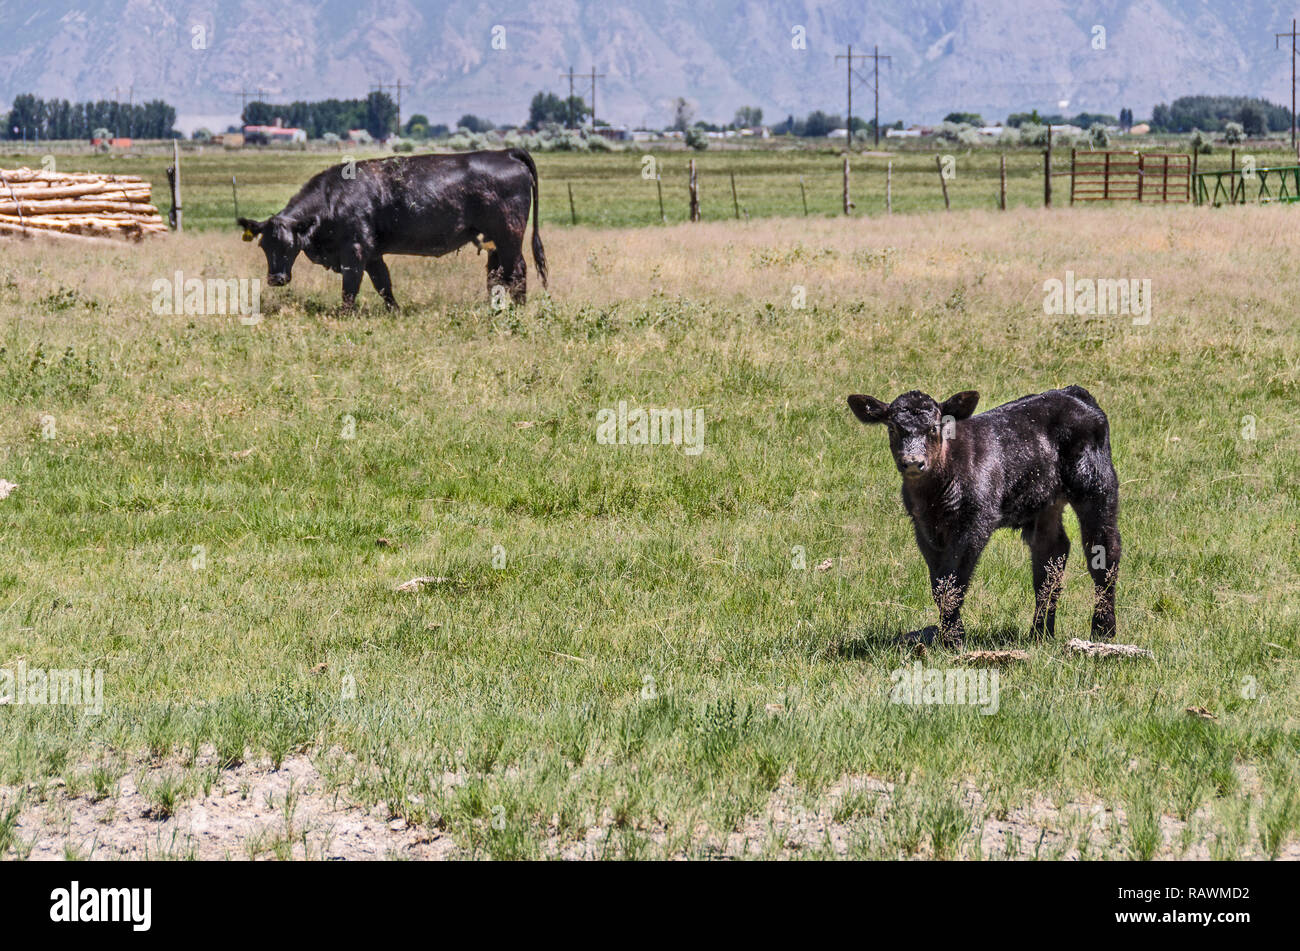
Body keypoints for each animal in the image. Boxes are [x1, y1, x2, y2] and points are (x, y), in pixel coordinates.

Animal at [237, 148, 546, 309]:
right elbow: (383, 284)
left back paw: (517, 310)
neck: (332, 198)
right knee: (496, 275)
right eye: (264, 245)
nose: (276, 278)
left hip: (509, 237)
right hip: (494, 241)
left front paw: (345, 315)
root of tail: (505, 153)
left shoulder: (355, 252)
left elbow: (350, 288)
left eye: (290, 245)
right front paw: (394, 312)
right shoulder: (373, 255)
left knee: (517, 271)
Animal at [846, 386, 1121, 647]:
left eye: (934, 427)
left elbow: (953, 582)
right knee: (1051, 555)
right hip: (1046, 502)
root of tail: (1072, 392)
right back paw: (1040, 633)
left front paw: (954, 641)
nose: (913, 462)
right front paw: (949, 634)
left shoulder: (976, 521)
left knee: (1104, 551)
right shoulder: (923, 527)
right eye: (892, 427)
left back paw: (1102, 630)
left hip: (1096, 485)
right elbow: (939, 584)